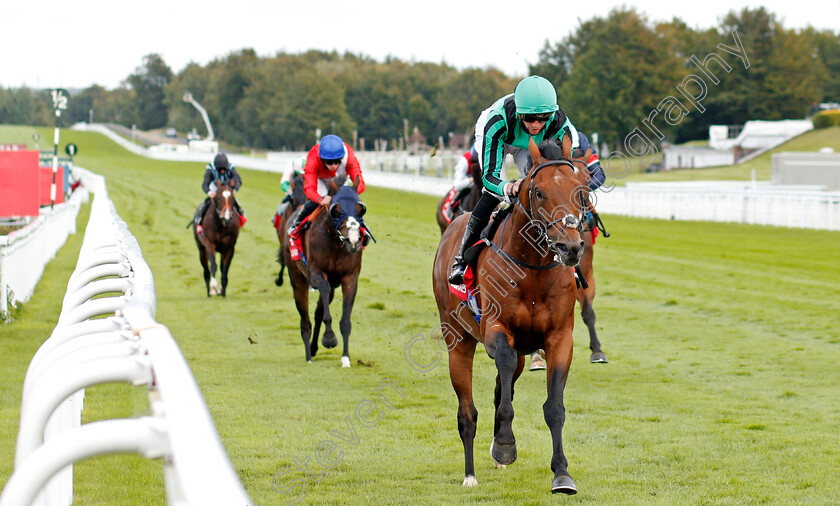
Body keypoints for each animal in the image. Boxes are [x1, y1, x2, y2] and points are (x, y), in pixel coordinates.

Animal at [434, 137, 592, 494]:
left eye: (581, 189)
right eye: (539, 192)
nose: (570, 247)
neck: (532, 269)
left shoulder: (559, 338)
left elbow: (554, 407)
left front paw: (562, 473)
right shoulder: (496, 329)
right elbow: (502, 366)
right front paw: (506, 444)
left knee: (501, 386)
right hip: (457, 339)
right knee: (467, 412)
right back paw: (470, 474)